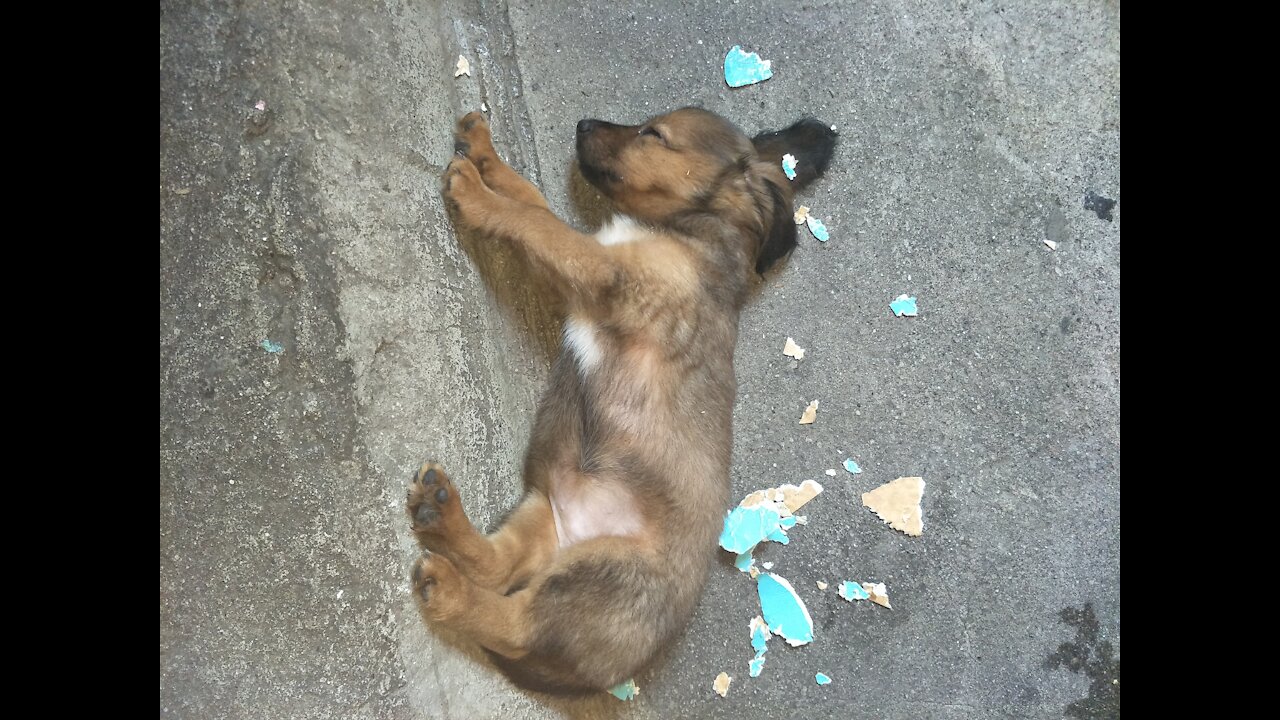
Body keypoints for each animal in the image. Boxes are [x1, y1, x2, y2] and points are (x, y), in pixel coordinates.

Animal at [404, 105, 834, 691]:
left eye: (654, 135)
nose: (583, 125)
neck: (684, 229)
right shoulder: (587, 269)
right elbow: (531, 198)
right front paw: (484, 152)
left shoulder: (605, 272)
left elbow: (537, 223)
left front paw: (476, 194)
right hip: (541, 513)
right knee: (497, 565)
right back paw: (440, 513)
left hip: (600, 581)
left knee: (514, 624)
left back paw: (448, 592)